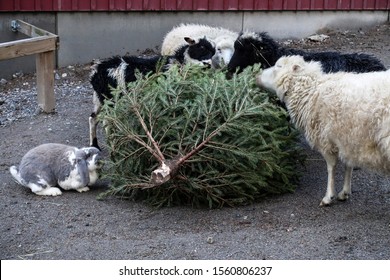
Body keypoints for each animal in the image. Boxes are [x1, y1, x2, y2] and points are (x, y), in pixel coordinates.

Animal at [256, 55, 390, 207]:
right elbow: (348, 165)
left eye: (278, 67)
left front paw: (328, 196)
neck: (311, 91)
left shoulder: (325, 139)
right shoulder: (347, 137)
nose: (256, 76)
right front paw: (344, 192)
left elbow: (331, 167)